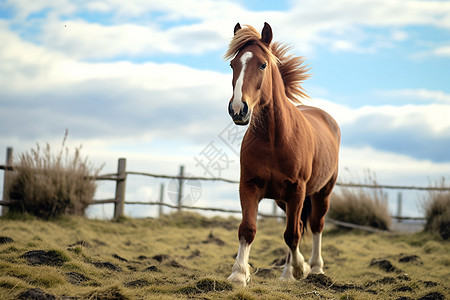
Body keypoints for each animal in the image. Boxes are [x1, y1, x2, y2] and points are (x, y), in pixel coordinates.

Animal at [225, 22, 342, 286]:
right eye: (232, 65)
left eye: (262, 65)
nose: (238, 109)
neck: (275, 140)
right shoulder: (249, 186)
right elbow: (248, 229)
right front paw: (238, 274)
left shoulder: (297, 190)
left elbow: (292, 234)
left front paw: (301, 268)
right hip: (283, 200)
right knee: (298, 223)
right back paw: (287, 274)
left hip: (321, 193)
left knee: (315, 225)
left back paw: (315, 268)